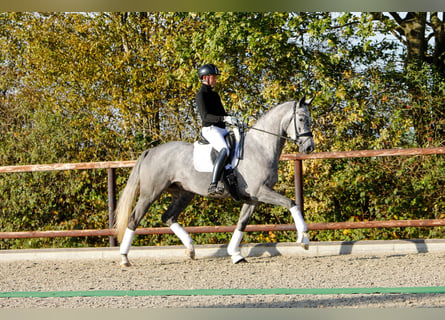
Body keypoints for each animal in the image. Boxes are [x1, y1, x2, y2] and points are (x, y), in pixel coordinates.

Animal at [116, 97, 314, 264]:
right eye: (301, 119)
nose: (309, 148)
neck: (260, 147)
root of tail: (152, 151)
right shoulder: (261, 191)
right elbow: (290, 203)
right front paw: (303, 239)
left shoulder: (253, 198)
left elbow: (242, 223)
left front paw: (235, 254)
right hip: (150, 194)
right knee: (134, 219)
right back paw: (124, 258)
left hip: (183, 194)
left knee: (169, 217)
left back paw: (190, 250)